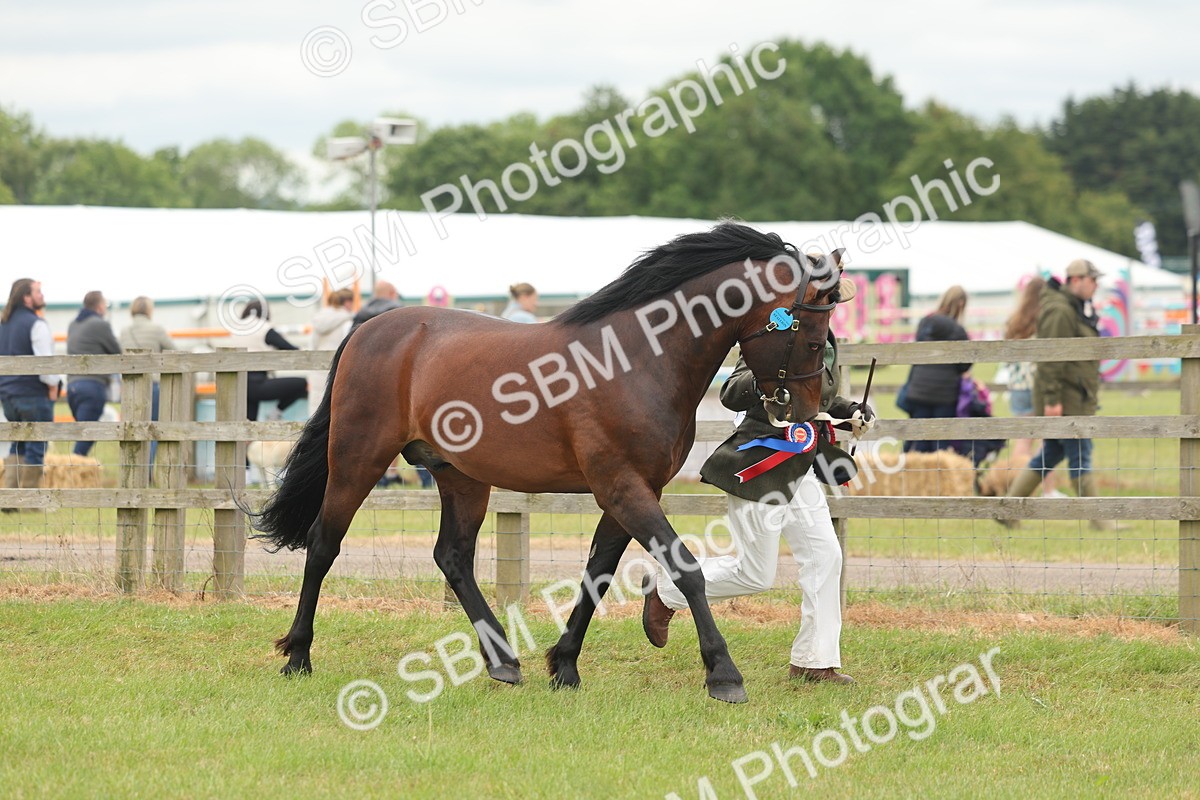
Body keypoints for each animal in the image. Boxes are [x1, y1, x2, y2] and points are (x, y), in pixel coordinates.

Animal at [251, 221, 843, 703]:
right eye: (813, 339)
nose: (805, 414)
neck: (637, 360)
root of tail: (371, 329)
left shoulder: (632, 490)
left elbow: (597, 574)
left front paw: (564, 666)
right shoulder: (623, 486)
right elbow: (686, 569)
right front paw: (723, 674)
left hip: (460, 476)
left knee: (453, 557)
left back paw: (502, 662)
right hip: (358, 459)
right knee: (324, 544)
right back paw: (298, 656)